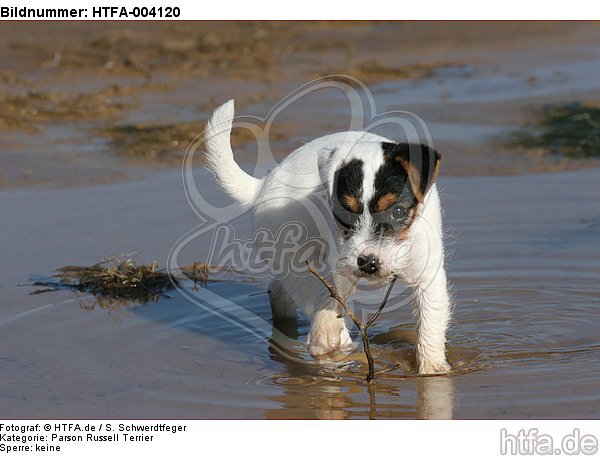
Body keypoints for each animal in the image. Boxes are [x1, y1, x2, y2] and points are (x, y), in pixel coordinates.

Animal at [203, 100, 450, 374]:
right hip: (297, 259)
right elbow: (330, 306)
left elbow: (430, 324)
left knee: (279, 290)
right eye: (345, 213)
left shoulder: (428, 277)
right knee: (305, 299)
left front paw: (433, 371)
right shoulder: (338, 269)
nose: (368, 263)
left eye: (398, 211)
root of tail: (261, 187)